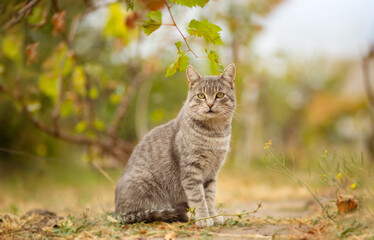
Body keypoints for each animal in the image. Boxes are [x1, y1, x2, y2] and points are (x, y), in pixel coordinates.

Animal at [114, 63, 237, 227]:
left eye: (220, 95)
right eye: (201, 96)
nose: (210, 104)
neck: (215, 133)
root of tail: (116, 213)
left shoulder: (212, 173)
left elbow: (210, 196)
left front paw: (213, 216)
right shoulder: (191, 169)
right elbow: (198, 197)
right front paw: (203, 218)